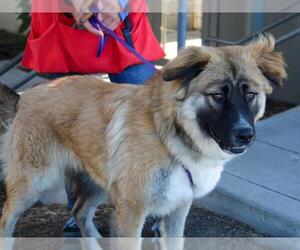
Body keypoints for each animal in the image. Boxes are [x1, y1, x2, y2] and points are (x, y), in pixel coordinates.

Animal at [0, 35, 288, 248]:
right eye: (217, 95)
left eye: (250, 94)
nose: (245, 134)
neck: (170, 137)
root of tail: (25, 97)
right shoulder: (131, 213)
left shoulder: (177, 210)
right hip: (33, 184)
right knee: (6, 220)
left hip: (98, 182)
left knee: (79, 212)